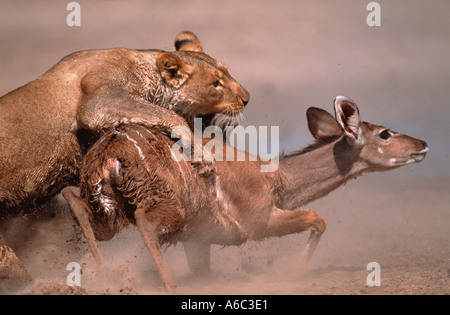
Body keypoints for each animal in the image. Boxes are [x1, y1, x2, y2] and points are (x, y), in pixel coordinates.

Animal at [61, 97, 428, 294]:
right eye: (385, 133)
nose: (423, 144)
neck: (277, 178)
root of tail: (111, 149)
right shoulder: (257, 223)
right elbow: (318, 220)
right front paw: (294, 275)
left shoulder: (199, 238)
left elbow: (203, 270)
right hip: (160, 206)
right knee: (146, 224)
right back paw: (164, 285)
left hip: (106, 207)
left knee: (73, 200)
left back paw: (103, 272)